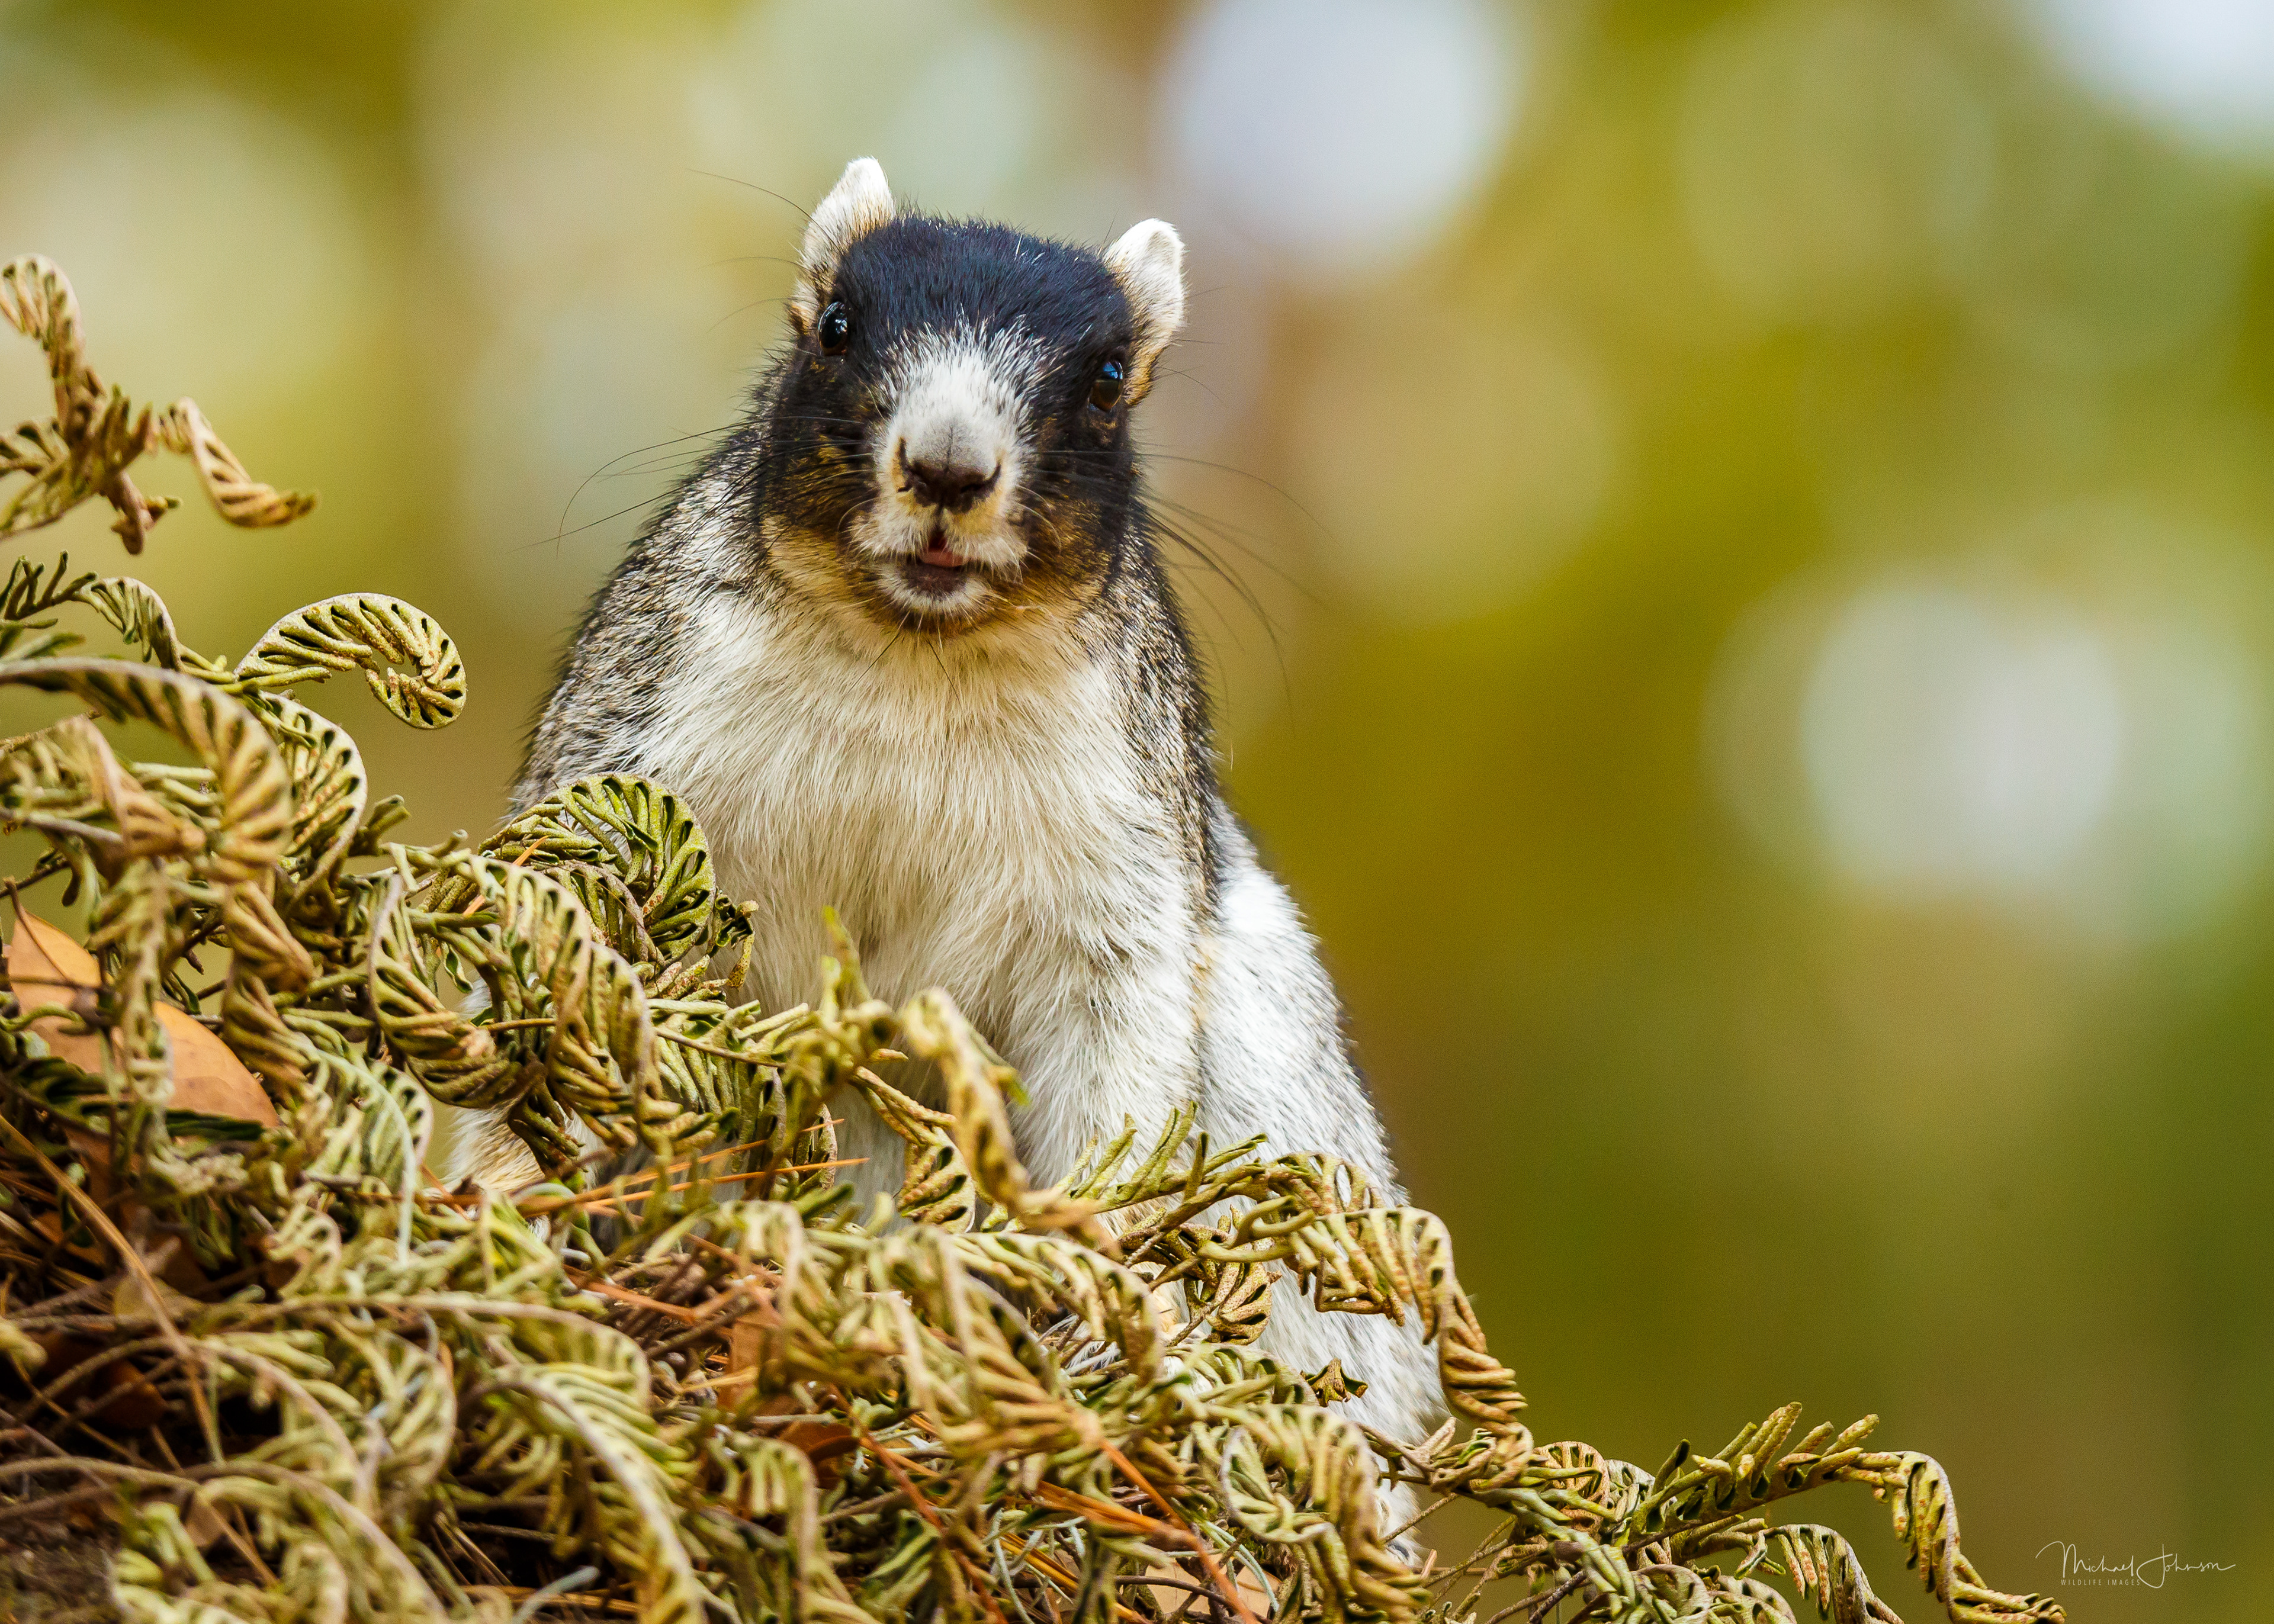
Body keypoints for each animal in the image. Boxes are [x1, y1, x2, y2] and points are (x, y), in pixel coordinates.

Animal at [436, 158, 1444, 1463]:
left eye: (1109, 380)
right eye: (833, 325)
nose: (951, 467)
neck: (912, 657)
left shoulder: (1112, 893)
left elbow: (1118, 1087)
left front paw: (1101, 1308)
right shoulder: (635, 760)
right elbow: (570, 978)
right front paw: (517, 1207)